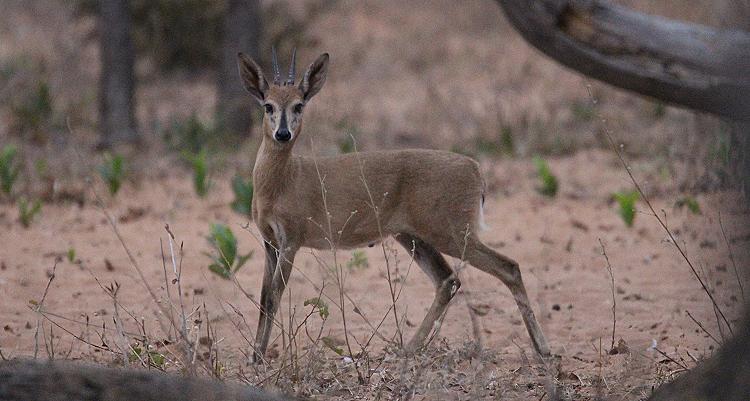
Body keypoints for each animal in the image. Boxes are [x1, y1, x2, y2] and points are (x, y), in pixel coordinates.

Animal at [239, 48, 552, 360]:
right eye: (268, 106)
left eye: (299, 105)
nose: (283, 134)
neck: (281, 183)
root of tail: (477, 171)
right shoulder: (269, 241)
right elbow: (265, 297)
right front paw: (256, 355)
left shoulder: (292, 237)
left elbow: (274, 295)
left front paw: (260, 357)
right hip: (412, 235)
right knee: (448, 280)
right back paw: (410, 347)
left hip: (452, 231)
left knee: (507, 266)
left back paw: (543, 348)